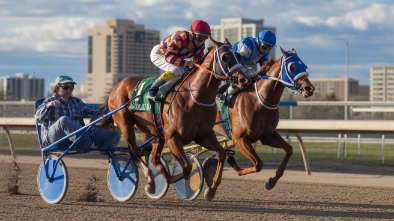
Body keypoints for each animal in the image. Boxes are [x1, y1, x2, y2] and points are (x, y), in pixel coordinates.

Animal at [106, 37, 251, 200]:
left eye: (238, 56)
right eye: (225, 57)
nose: (243, 80)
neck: (194, 96)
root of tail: (116, 87)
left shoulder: (203, 134)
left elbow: (221, 153)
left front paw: (211, 190)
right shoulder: (172, 137)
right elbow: (187, 167)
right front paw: (172, 180)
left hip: (156, 133)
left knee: (154, 157)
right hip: (125, 123)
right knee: (134, 152)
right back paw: (149, 181)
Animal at [214, 48, 316, 190]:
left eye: (305, 66)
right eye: (292, 67)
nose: (309, 88)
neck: (258, 101)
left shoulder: (267, 135)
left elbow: (289, 150)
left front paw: (271, 181)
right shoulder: (239, 139)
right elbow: (258, 164)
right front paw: (235, 165)